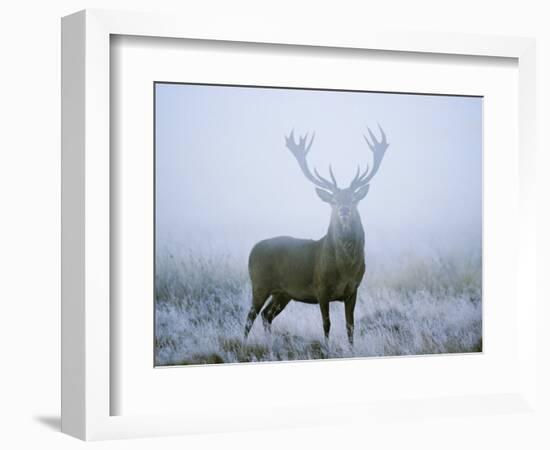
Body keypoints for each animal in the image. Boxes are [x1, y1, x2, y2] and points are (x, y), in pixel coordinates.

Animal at [244, 125, 390, 346]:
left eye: (354, 199)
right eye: (334, 200)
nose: (344, 210)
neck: (346, 269)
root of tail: (252, 250)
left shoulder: (354, 289)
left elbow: (350, 326)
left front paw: (351, 348)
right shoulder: (321, 287)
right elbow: (327, 324)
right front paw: (328, 347)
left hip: (283, 292)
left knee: (266, 315)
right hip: (260, 283)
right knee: (250, 316)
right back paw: (243, 343)